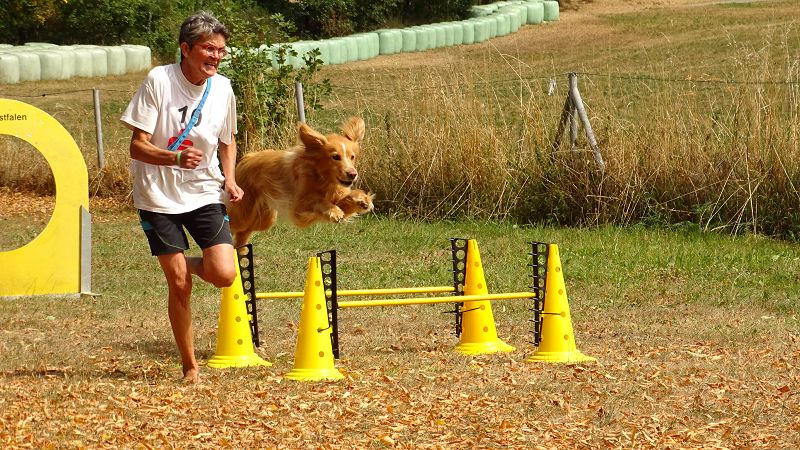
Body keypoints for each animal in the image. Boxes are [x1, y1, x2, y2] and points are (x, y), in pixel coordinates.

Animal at [227, 116, 374, 248]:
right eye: (335, 157)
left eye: (352, 157)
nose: (353, 174)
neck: (320, 177)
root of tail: (243, 161)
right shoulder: (299, 208)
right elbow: (318, 200)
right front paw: (334, 211)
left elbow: (347, 198)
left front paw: (363, 200)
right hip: (244, 213)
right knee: (234, 225)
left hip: (265, 218)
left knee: (244, 232)